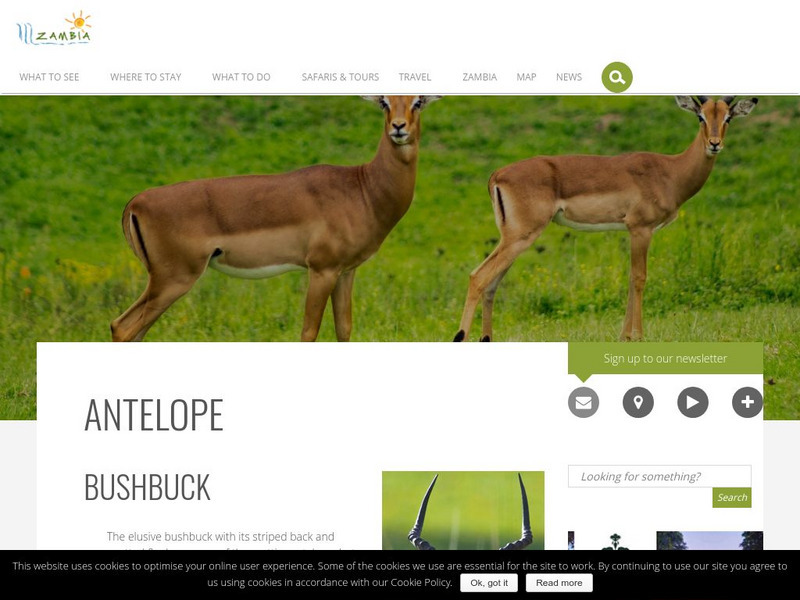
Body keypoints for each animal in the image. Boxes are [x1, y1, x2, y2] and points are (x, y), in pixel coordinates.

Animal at [111, 95, 441, 342]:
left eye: (418, 101)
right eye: (384, 101)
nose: (398, 128)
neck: (362, 188)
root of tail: (136, 203)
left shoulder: (346, 272)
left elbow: (344, 330)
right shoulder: (321, 270)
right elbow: (309, 332)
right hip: (173, 279)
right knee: (123, 327)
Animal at [453, 96, 758, 342]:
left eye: (727, 116)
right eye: (700, 116)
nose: (714, 144)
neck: (670, 172)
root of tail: (497, 174)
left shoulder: (633, 231)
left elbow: (630, 279)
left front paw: (624, 337)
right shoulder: (640, 229)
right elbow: (639, 278)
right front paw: (638, 336)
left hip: (513, 239)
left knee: (491, 284)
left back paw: (486, 339)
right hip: (520, 237)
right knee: (478, 277)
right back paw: (460, 336)